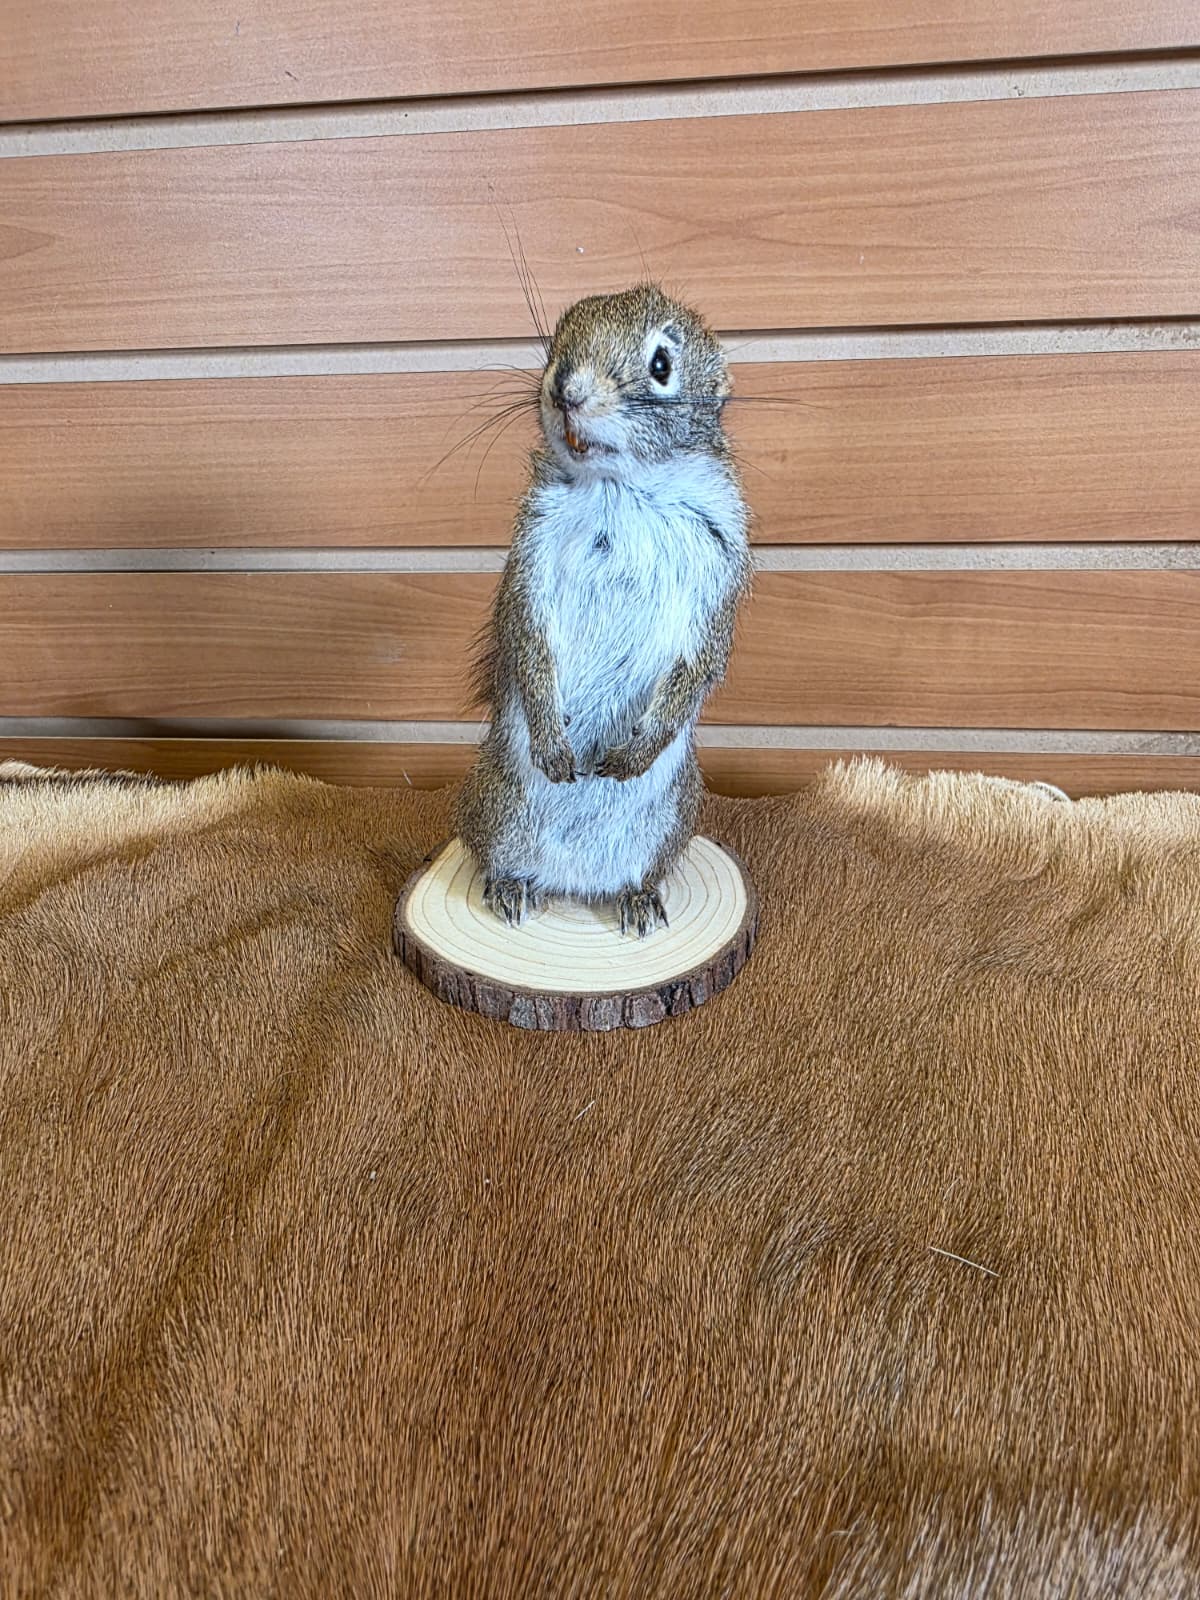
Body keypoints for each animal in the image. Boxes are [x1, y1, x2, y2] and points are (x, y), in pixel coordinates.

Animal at [455, 283, 751, 937]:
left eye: (662, 364)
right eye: (559, 336)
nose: (565, 388)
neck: (620, 485)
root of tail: (575, 883)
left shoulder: (717, 572)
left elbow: (698, 667)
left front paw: (637, 750)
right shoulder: (531, 559)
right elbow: (528, 638)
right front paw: (551, 740)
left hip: (671, 823)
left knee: (641, 873)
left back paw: (638, 899)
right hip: (495, 806)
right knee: (495, 857)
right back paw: (511, 887)